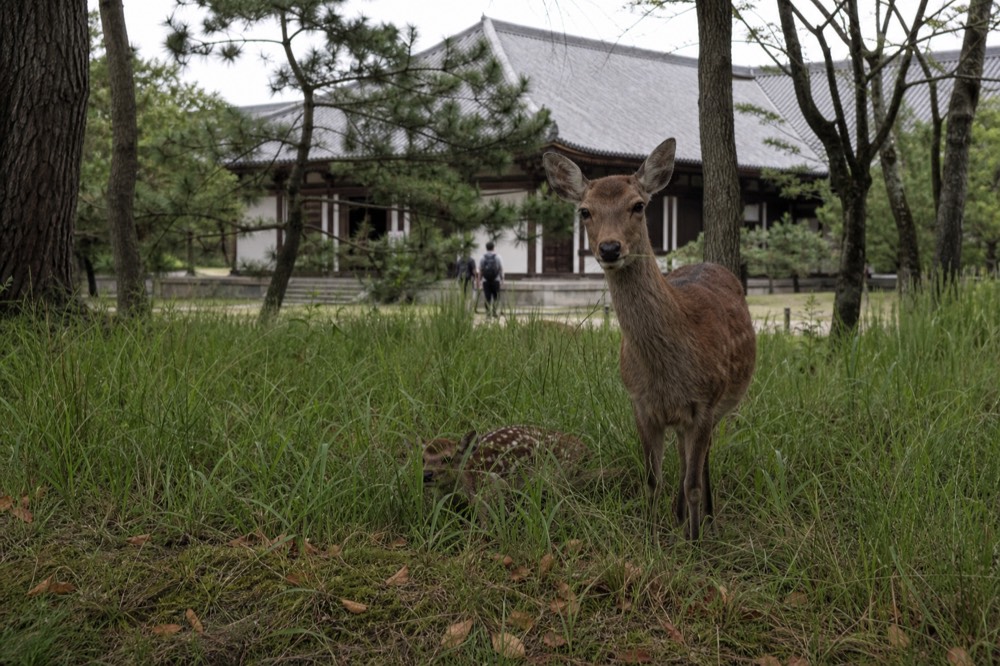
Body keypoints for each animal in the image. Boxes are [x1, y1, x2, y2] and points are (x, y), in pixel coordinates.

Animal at [542, 138, 756, 540]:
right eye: (584, 211)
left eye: (638, 205)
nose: (610, 248)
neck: (666, 372)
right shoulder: (640, 403)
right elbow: (652, 479)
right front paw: (650, 534)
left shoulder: (705, 403)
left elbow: (692, 481)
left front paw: (693, 541)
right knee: (684, 455)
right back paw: (681, 515)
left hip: (723, 404)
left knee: (702, 459)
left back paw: (707, 518)